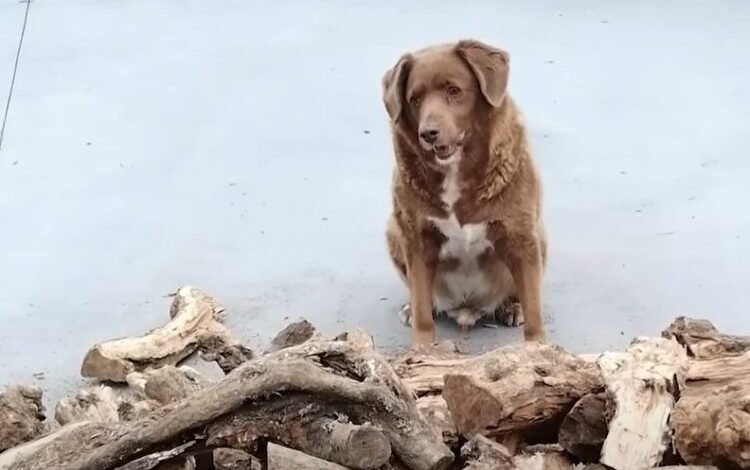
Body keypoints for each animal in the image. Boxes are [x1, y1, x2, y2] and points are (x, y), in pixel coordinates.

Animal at [384, 39, 548, 346]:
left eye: (454, 90)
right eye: (414, 99)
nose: (428, 133)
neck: (455, 171)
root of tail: (466, 308)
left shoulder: (521, 236)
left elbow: (534, 310)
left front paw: (537, 348)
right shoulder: (417, 239)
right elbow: (422, 310)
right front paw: (422, 348)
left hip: (539, 237)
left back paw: (511, 306)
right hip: (393, 230)